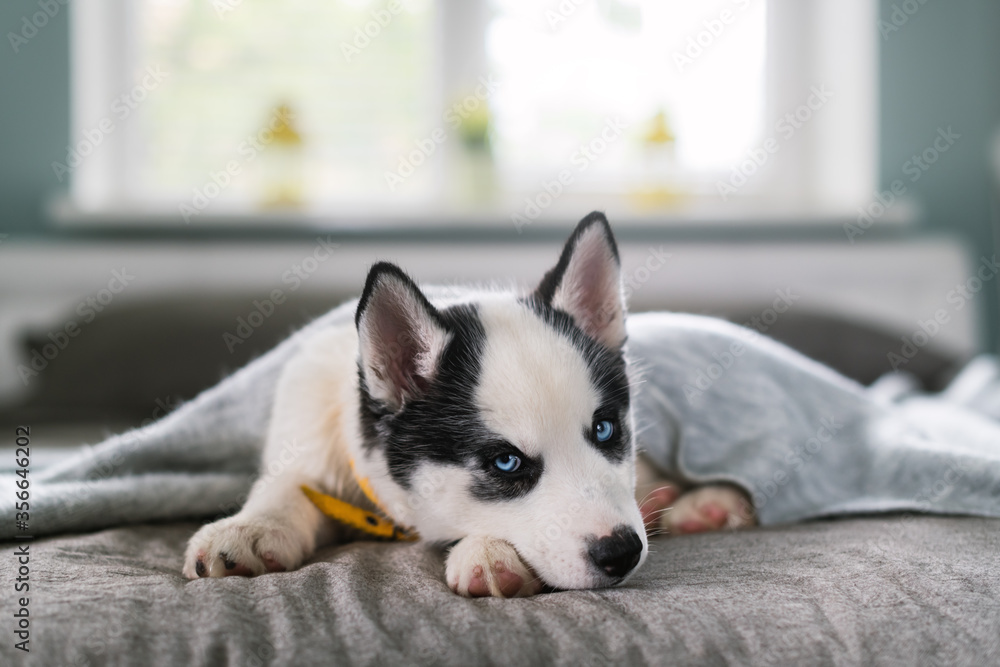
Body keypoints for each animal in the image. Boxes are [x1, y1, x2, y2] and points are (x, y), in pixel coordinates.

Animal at [184, 213, 752, 596]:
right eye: (506, 462)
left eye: (606, 430)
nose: (622, 552)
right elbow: (288, 485)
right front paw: (251, 527)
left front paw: (487, 550)